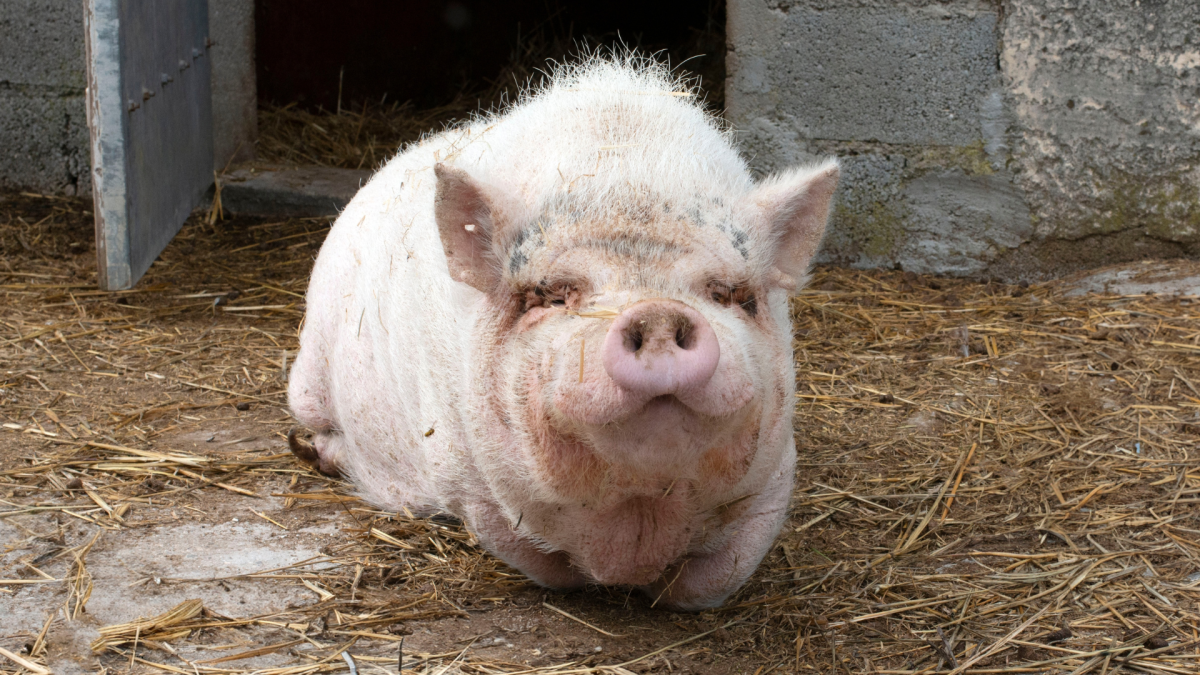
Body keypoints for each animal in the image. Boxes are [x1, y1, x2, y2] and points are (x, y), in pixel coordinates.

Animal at [286, 55, 840, 607]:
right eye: (550, 296)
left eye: (729, 296)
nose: (657, 313)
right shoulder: (465, 477)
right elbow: (547, 567)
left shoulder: (778, 472)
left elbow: (710, 583)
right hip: (307, 377)